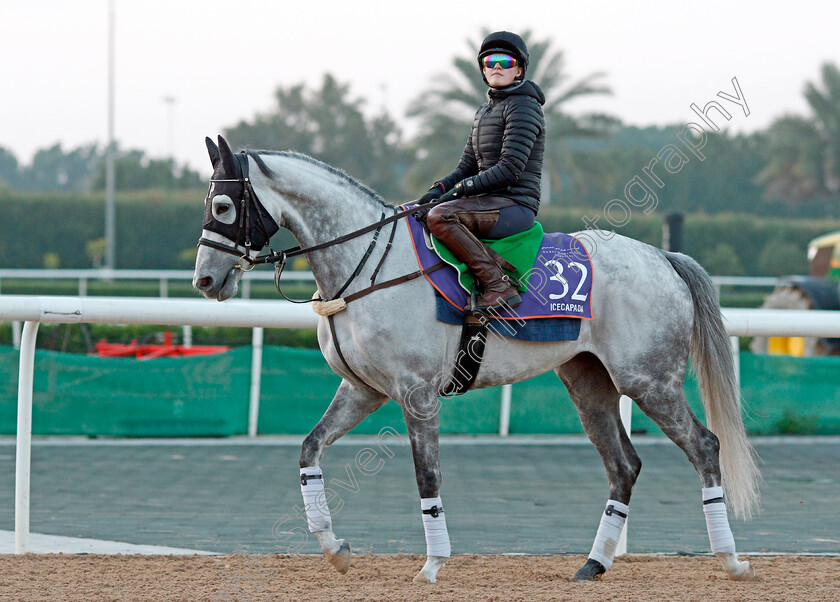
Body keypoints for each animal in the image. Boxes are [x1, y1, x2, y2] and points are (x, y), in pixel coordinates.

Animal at [194, 135, 756, 580]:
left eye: (222, 206)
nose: (204, 280)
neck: (368, 267)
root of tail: (662, 257)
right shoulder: (363, 390)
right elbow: (309, 450)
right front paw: (336, 551)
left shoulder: (416, 394)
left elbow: (427, 476)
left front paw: (432, 565)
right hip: (589, 384)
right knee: (624, 465)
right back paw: (594, 564)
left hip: (649, 381)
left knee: (705, 447)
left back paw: (730, 560)